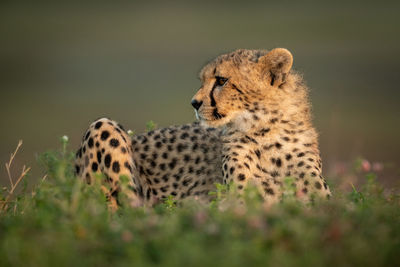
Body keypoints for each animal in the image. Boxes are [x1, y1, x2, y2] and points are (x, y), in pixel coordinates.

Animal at [75, 47, 332, 208]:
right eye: (203, 80)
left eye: (221, 81)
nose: (194, 103)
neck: (266, 131)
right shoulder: (241, 202)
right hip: (103, 125)